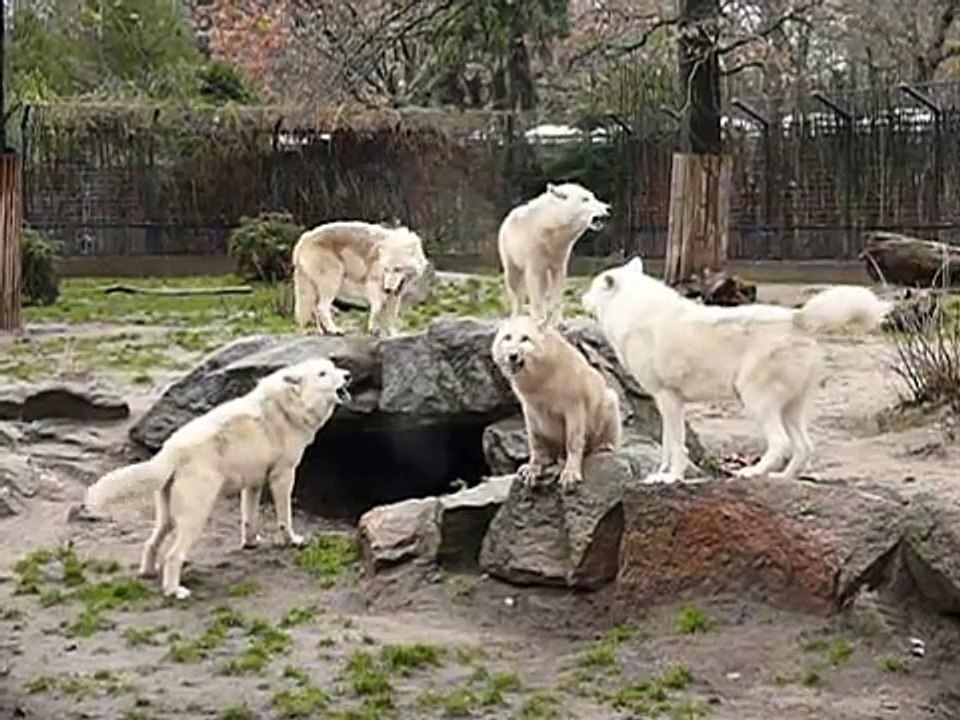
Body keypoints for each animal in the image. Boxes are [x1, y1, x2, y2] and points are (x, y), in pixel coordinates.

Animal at [83, 358, 352, 599]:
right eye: (322, 373)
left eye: (334, 367)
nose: (348, 375)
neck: (289, 405)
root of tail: (171, 449)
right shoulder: (283, 476)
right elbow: (285, 518)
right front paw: (292, 541)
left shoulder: (253, 483)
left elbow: (249, 520)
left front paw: (251, 544)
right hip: (195, 517)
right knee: (173, 555)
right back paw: (174, 591)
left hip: (168, 517)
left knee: (151, 543)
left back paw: (148, 574)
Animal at [292, 221, 429, 338]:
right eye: (386, 269)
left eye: (397, 269)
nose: (387, 289)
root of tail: (302, 240)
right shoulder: (373, 284)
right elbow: (377, 308)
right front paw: (373, 329)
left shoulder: (396, 294)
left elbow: (391, 316)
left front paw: (393, 334)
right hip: (332, 280)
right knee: (321, 307)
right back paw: (334, 330)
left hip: (313, 288)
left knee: (314, 308)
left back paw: (322, 331)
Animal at [491, 315, 622, 491]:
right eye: (507, 337)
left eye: (525, 338)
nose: (513, 355)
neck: (543, 380)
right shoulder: (530, 407)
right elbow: (535, 441)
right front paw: (532, 470)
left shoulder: (574, 405)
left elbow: (573, 441)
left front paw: (570, 475)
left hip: (609, 401)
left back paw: (604, 447)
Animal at [498, 183, 611, 325]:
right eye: (585, 199)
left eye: (593, 196)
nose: (607, 209)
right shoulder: (533, 249)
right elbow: (534, 282)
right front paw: (538, 318)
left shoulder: (560, 254)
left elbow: (558, 281)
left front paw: (558, 321)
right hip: (508, 250)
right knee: (514, 280)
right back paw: (516, 315)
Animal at [581, 257, 891, 483]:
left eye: (595, 287)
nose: (582, 298)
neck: (634, 308)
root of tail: (797, 318)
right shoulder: (668, 401)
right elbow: (669, 445)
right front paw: (661, 475)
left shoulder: (667, 398)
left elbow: (676, 445)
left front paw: (671, 478)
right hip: (790, 409)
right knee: (804, 447)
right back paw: (781, 478)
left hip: (755, 401)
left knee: (780, 444)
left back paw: (752, 473)